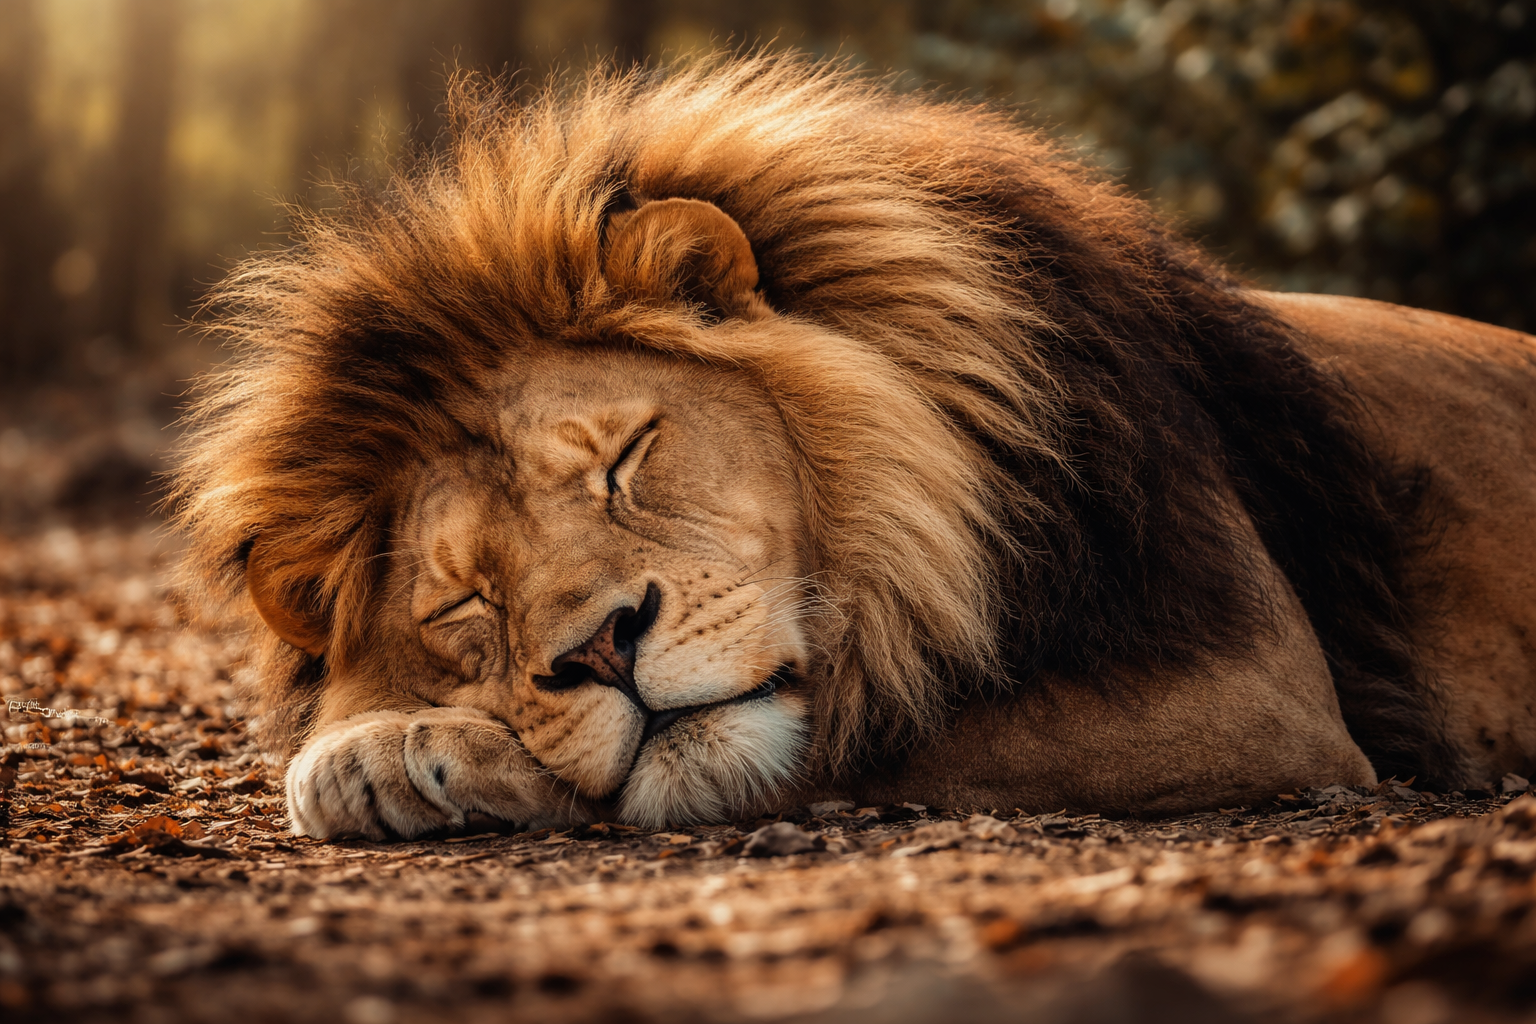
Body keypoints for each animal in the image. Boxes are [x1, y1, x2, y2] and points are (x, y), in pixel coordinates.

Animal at [171, 56, 1536, 840]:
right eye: (464, 602)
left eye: (626, 457)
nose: (602, 649)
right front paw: (382, 743)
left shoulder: (1249, 686)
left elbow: (854, 730)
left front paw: (405, 752)